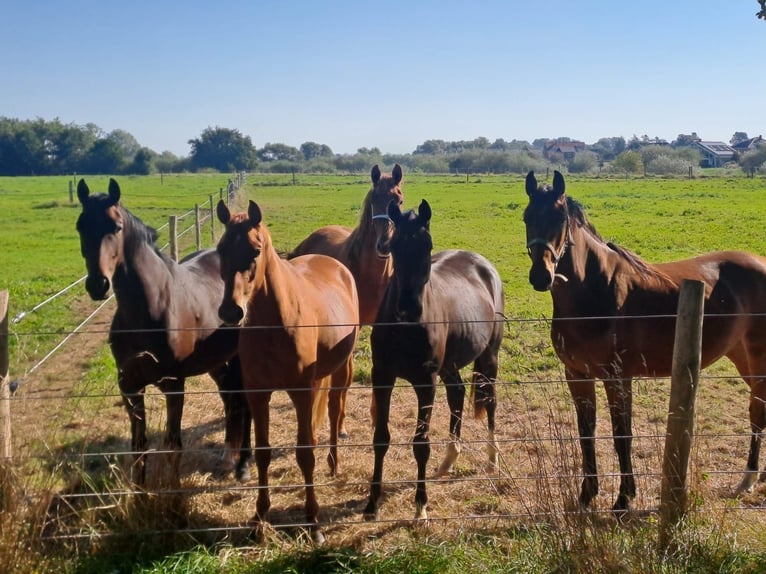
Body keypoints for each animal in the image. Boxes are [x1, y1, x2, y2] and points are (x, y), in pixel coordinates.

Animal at [74, 179, 250, 486]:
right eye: (80, 226)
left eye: (116, 227)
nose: (98, 284)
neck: (148, 311)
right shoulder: (130, 388)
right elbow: (139, 447)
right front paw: (140, 494)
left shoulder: (173, 385)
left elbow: (172, 445)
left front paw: (173, 493)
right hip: (216, 363)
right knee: (229, 398)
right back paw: (228, 456)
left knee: (240, 401)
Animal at [216, 198, 360, 544]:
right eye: (220, 249)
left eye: (255, 250)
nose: (231, 311)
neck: (276, 323)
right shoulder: (258, 394)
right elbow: (263, 453)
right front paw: (259, 518)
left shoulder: (301, 393)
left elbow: (305, 453)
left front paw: (314, 523)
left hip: (341, 368)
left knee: (335, 409)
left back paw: (333, 463)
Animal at [364, 200, 508, 524]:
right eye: (394, 245)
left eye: (427, 245)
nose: (408, 308)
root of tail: (484, 265)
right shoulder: (382, 376)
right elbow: (381, 438)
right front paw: (372, 503)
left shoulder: (425, 382)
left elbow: (421, 445)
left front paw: (421, 508)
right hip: (450, 366)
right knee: (457, 394)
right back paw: (448, 461)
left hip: (488, 357)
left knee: (490, 400)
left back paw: (492, 459)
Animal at [528, 170, 766, 512]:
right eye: (526, 217)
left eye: (559, 219)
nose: (540, 276)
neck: (596, 291)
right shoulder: (577, 375)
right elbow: (586, 433)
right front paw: (587, 496)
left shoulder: (617, 376)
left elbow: (622, 435)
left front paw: (623, 499)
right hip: (741, 357)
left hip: (758, 358)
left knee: (757, 411)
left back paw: (747, 480)